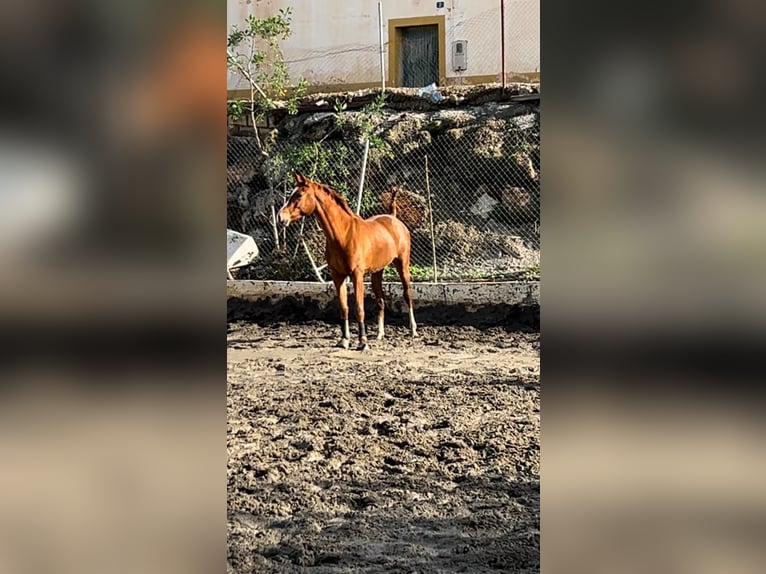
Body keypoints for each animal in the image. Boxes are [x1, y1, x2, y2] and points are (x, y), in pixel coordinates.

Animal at [278, 173, 416, 352]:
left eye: (299, 195)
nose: (281, 217)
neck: (343, 235)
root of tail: (393, 217)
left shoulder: (357, 275)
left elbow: (359, 308)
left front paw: (363, 342)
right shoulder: (338, 276)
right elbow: (344, 308)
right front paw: (344, 340)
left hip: (402, 265)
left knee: (407, 294)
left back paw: (413, 330)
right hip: (377, 272)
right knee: (380, 300)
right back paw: (380, 334)